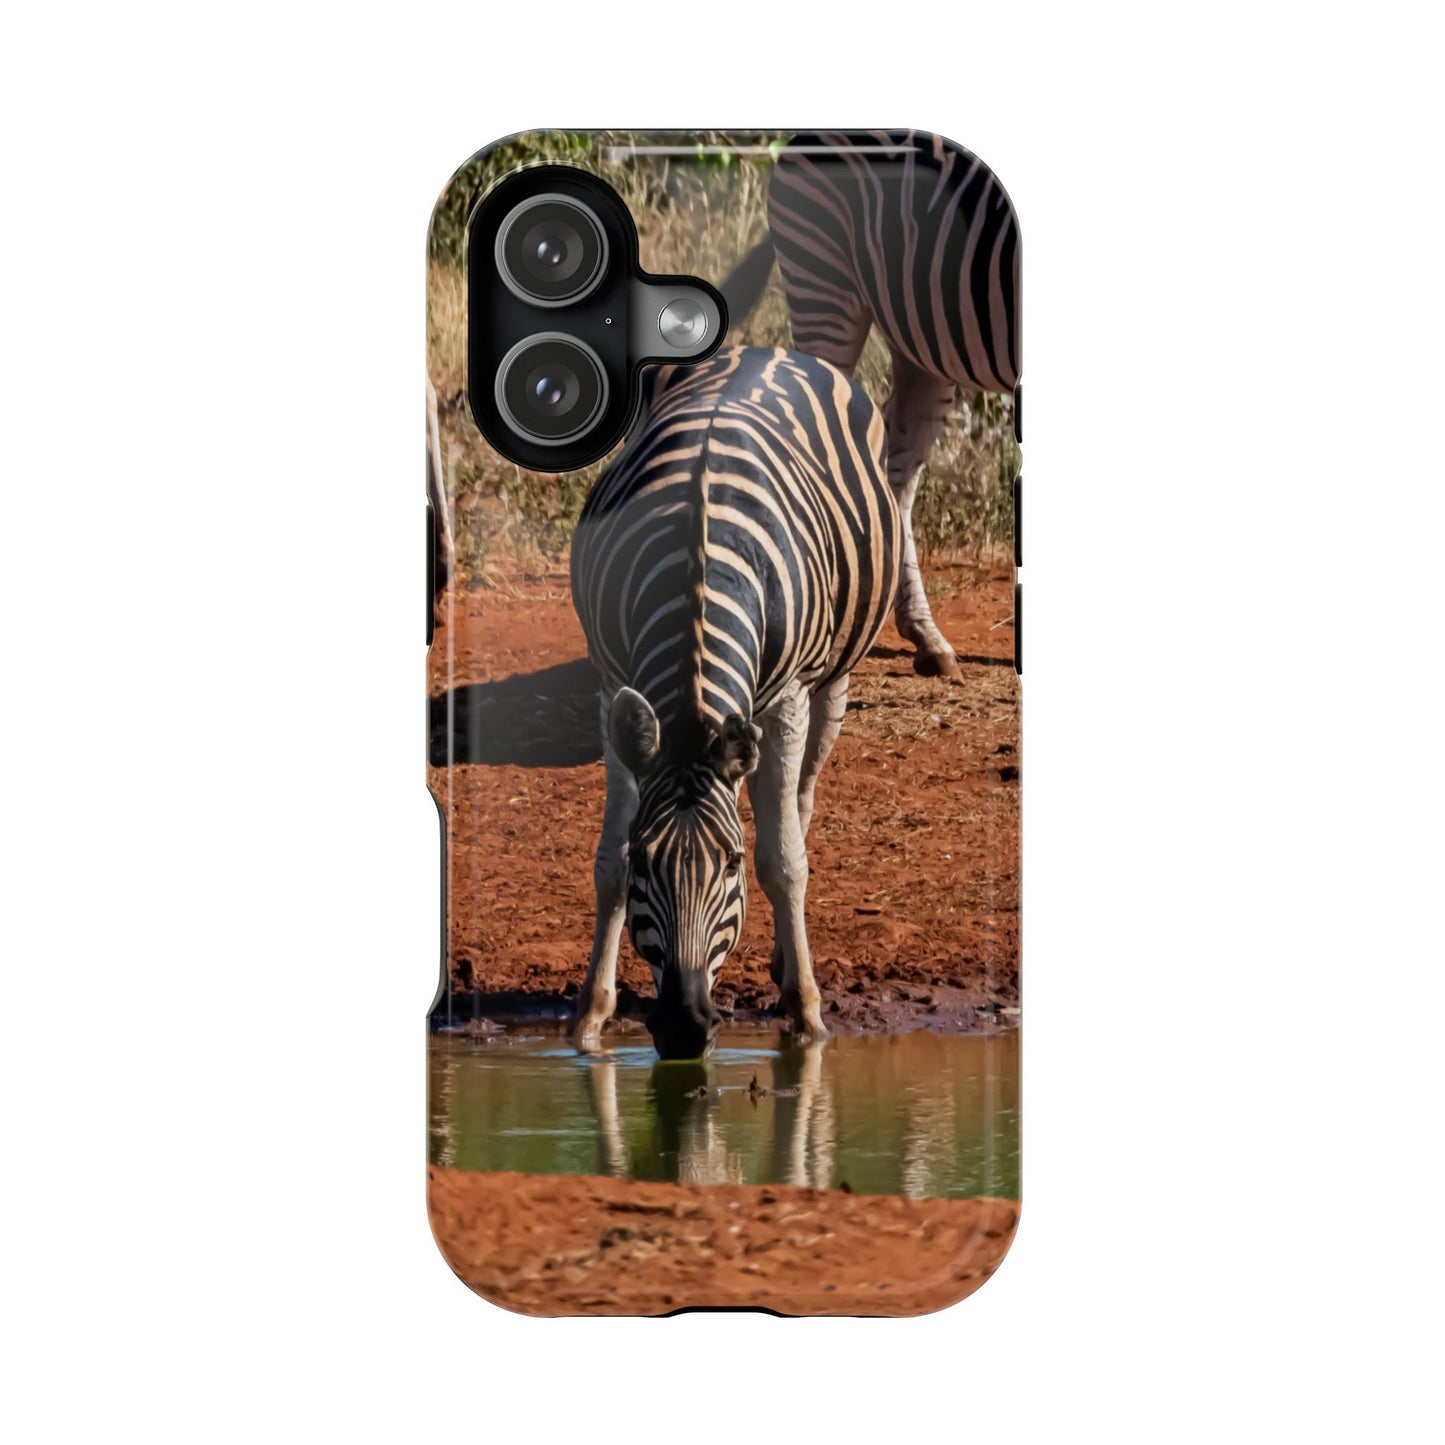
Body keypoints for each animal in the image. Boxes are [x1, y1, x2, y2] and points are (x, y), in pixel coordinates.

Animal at [570, 345, 900, 1058]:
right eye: (647, 860)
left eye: (731, 864)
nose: (684, 1027)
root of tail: (766, 348)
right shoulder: (611, 686)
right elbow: (607, 864)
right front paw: (590, 1016)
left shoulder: (787, 700)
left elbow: (784, 861)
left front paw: (807, 1015)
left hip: (830, 679)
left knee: (800, 801)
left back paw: (786, 963)